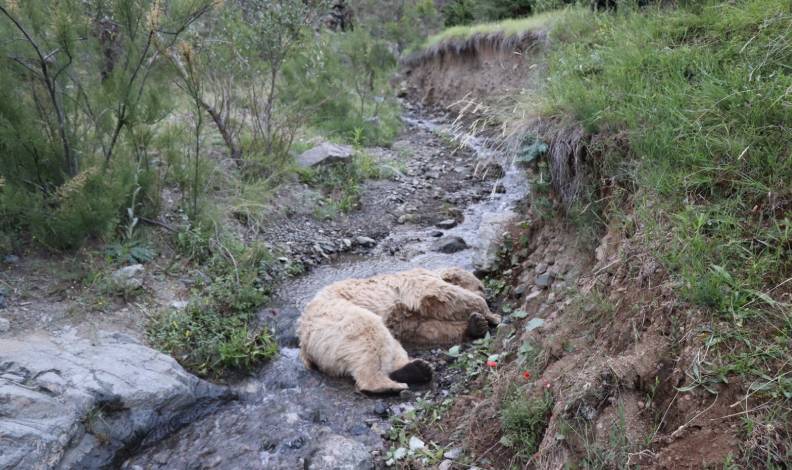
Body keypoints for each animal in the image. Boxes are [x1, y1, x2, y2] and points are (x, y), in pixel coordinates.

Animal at [297, 267, 500, 394]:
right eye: (481, 286)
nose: (489, 296)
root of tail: (303, 344)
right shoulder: (418, 282)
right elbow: (444, 294)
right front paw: (491, 315)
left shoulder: (409, 319)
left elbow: (426, 328)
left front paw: (476, 324)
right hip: (338, 318)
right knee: (370, 333)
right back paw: (392, 384)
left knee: (392, 345)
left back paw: (417, 369)